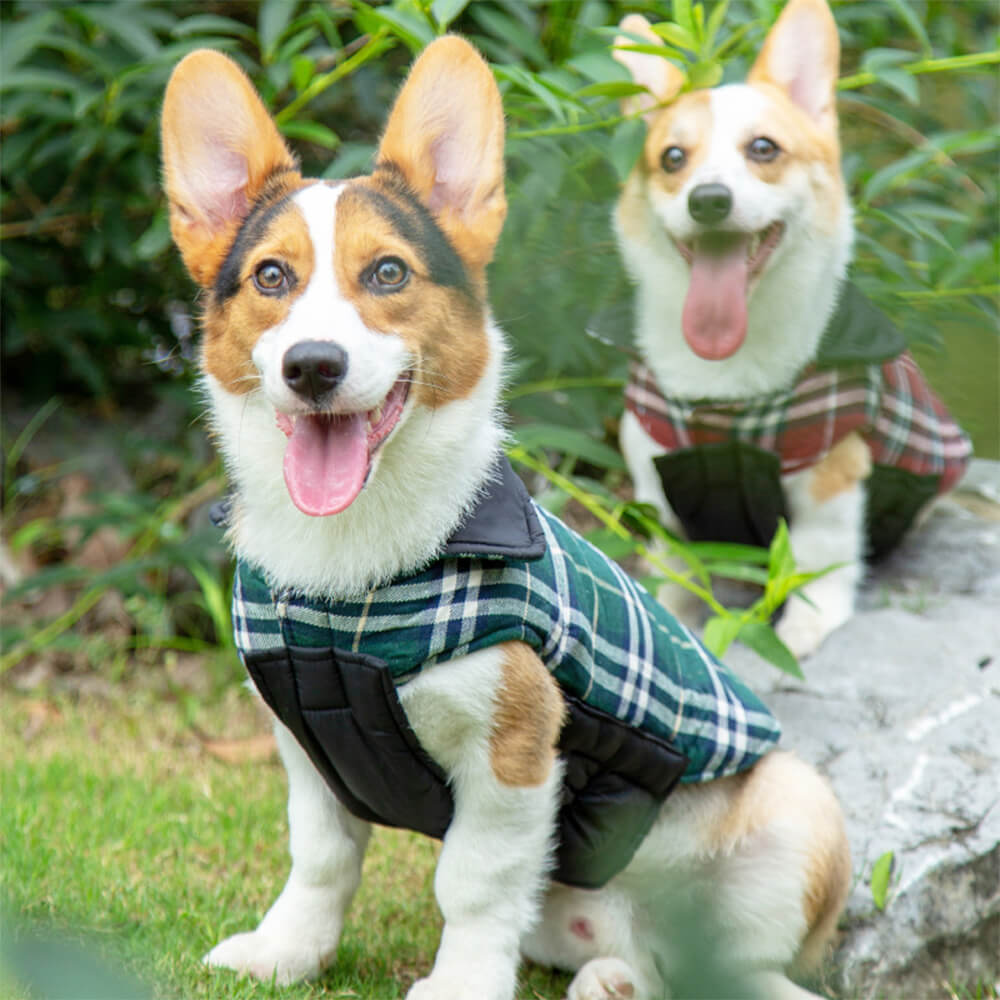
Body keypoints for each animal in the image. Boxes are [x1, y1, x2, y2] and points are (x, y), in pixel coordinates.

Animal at [160, 33, 848, 1000]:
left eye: (388, 273)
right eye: (271, 278)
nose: (313, 367)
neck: (356, 577)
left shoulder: (513, 753)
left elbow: (475, 883)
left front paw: (460, 984)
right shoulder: (307, 748)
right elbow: (320, 861)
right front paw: (284, 952)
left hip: (799, 810)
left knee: (749, 969)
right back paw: (616, 979)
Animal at [612, 0, 972, 656]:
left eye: (763, 148)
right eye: (673, 158)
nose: (707, 200)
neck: (727, 378)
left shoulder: (832, 467)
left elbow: (817, 554)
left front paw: (807, 622)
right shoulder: (654, 469)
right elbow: (675, 561)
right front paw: (671, 612)